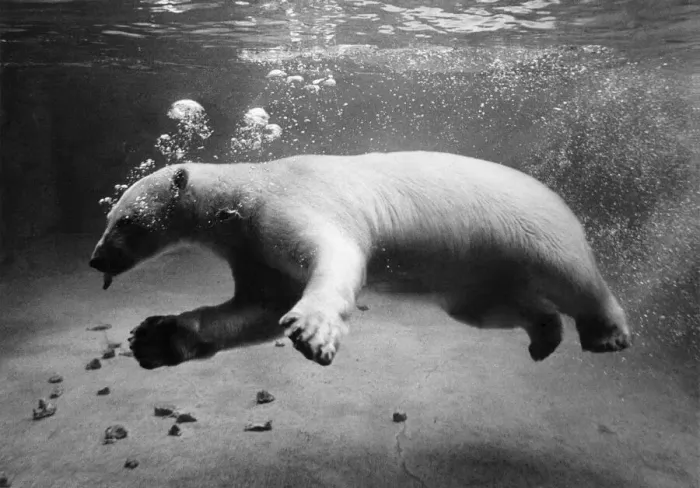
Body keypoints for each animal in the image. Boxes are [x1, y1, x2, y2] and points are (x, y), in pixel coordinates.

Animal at [89, 151, 632, 370]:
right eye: (109, 215)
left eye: (124, 221)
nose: (95, 260)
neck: (248, 187)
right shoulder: (251, 248)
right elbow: (257, 308)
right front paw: (155, 338)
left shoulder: (288, 205)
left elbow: (333, 256)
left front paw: (312, 330)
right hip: (478, 272)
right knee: (489, 308)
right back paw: (544, 335)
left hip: (533, 230)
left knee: (573, 277)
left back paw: (606, 333)